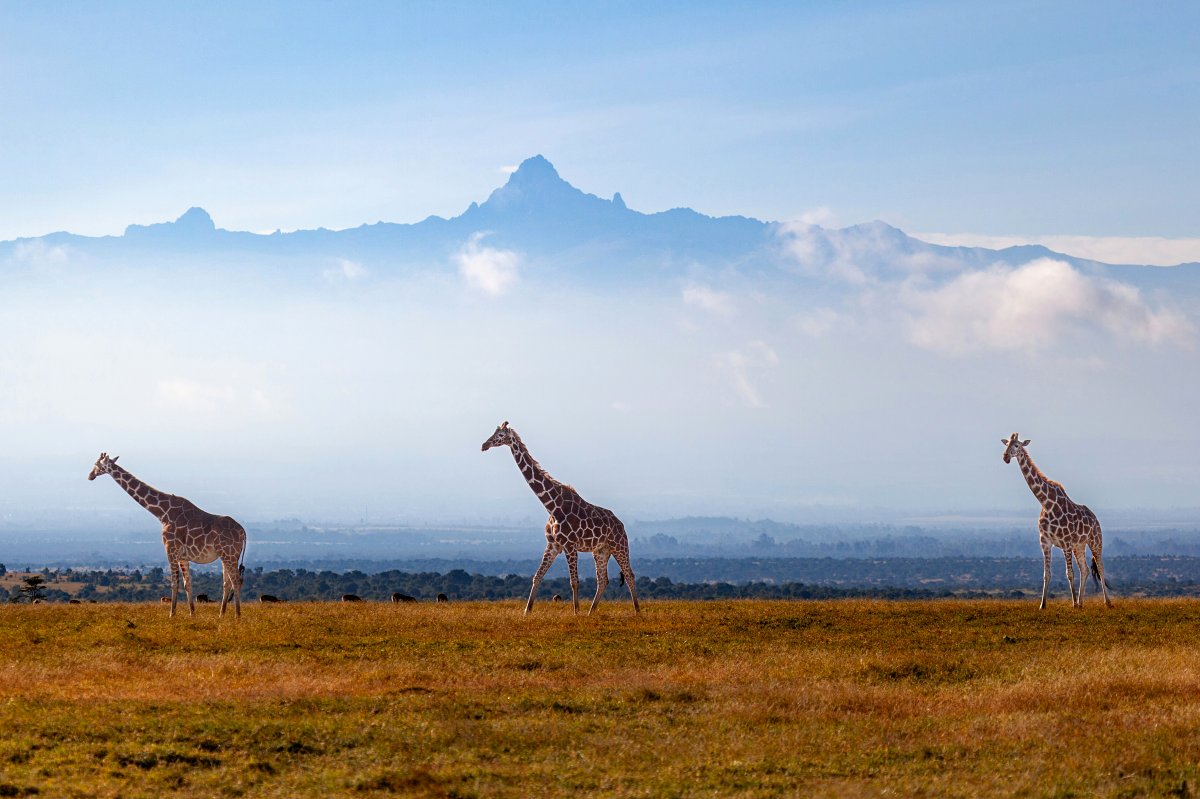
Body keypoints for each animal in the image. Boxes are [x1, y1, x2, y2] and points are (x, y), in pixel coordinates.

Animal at [88, 453, 247, 618]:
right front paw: (192, 614)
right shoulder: (183, 556)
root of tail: (243, 532)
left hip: (229, 554)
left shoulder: (170, 549)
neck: (162, 513)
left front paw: (172, 614)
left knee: (236, 581)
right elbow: (187, 583)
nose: (90, 476)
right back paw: (221, 615)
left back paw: (237, 616)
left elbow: (174, 583)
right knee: (227, 582)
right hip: (226, 556)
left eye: (96, 464)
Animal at [482, 422, 640, 616]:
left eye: (501, 435)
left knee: (629, 574)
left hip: (619, 546)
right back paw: (591, 612)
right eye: (494, 431)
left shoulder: (569, 545)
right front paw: (527, 611)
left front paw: (576, 612)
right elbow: (537, 576)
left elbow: (574, 582)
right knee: (603, 580)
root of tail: (621, 524)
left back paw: (637, 611)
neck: (551, 505)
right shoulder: (553, 545)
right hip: (601, 551)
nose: (484, 445)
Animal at [1001, 433, 1111, 609]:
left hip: (1095, 540)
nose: (1005, 457)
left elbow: (1069, 574)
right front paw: (1043, 605)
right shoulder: (1045, 542)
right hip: (1079, 546)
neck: (1045, 502)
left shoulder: (1065, 542)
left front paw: (1073, 604)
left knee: (1100, 567)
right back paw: (1081, 602)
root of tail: (1095, 518)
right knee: (1085, 569)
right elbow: (1047, 574)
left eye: (1017, 445)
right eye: (1006, 445)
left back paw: (1106, 602)